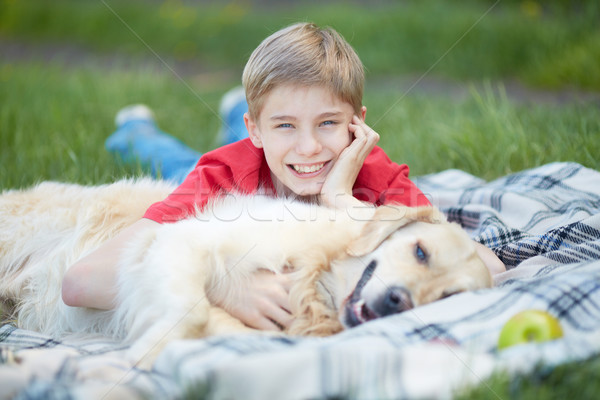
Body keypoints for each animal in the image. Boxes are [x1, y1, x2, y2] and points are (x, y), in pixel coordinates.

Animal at [0, 180, 492, 368]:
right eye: (421, 252)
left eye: (448, 298)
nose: (398, 302)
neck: (316, 277)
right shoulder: (180, 242)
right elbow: (193, 309)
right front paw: (146, 354)